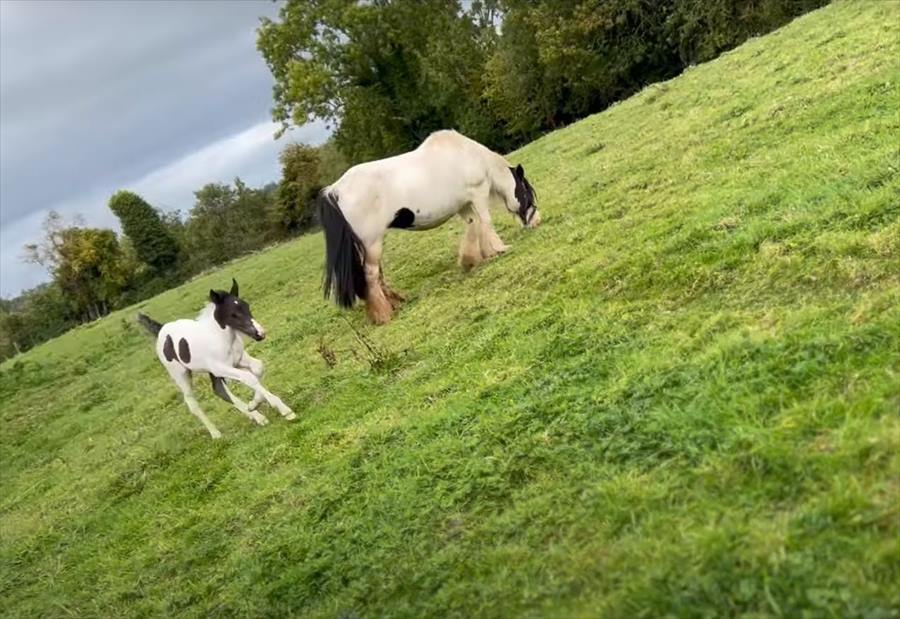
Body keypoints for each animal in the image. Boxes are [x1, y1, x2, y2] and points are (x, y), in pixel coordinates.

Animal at [320, 129, 536, 326]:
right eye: (527, 192)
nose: (535, 222)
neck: (467, 154)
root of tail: (335, 190)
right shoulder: (478, 194)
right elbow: (486, 222)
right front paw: (499, 249)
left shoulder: (464, 205)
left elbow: (474, 226)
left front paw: (474, 258)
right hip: (371, 243)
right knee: (371, 276)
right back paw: (384, 314)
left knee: (377, 276)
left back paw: (396, 303)